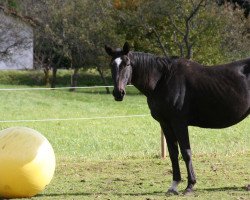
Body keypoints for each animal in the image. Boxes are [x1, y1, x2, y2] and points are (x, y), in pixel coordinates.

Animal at [104, 42, 249, 195]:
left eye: (127, 64)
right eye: (111, 65)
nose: (118, 93)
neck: (163, 80)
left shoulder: (179, 123)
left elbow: (186, 152)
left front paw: (190, 185)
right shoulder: (165, 123)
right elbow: (173, 153)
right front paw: (173, 186)